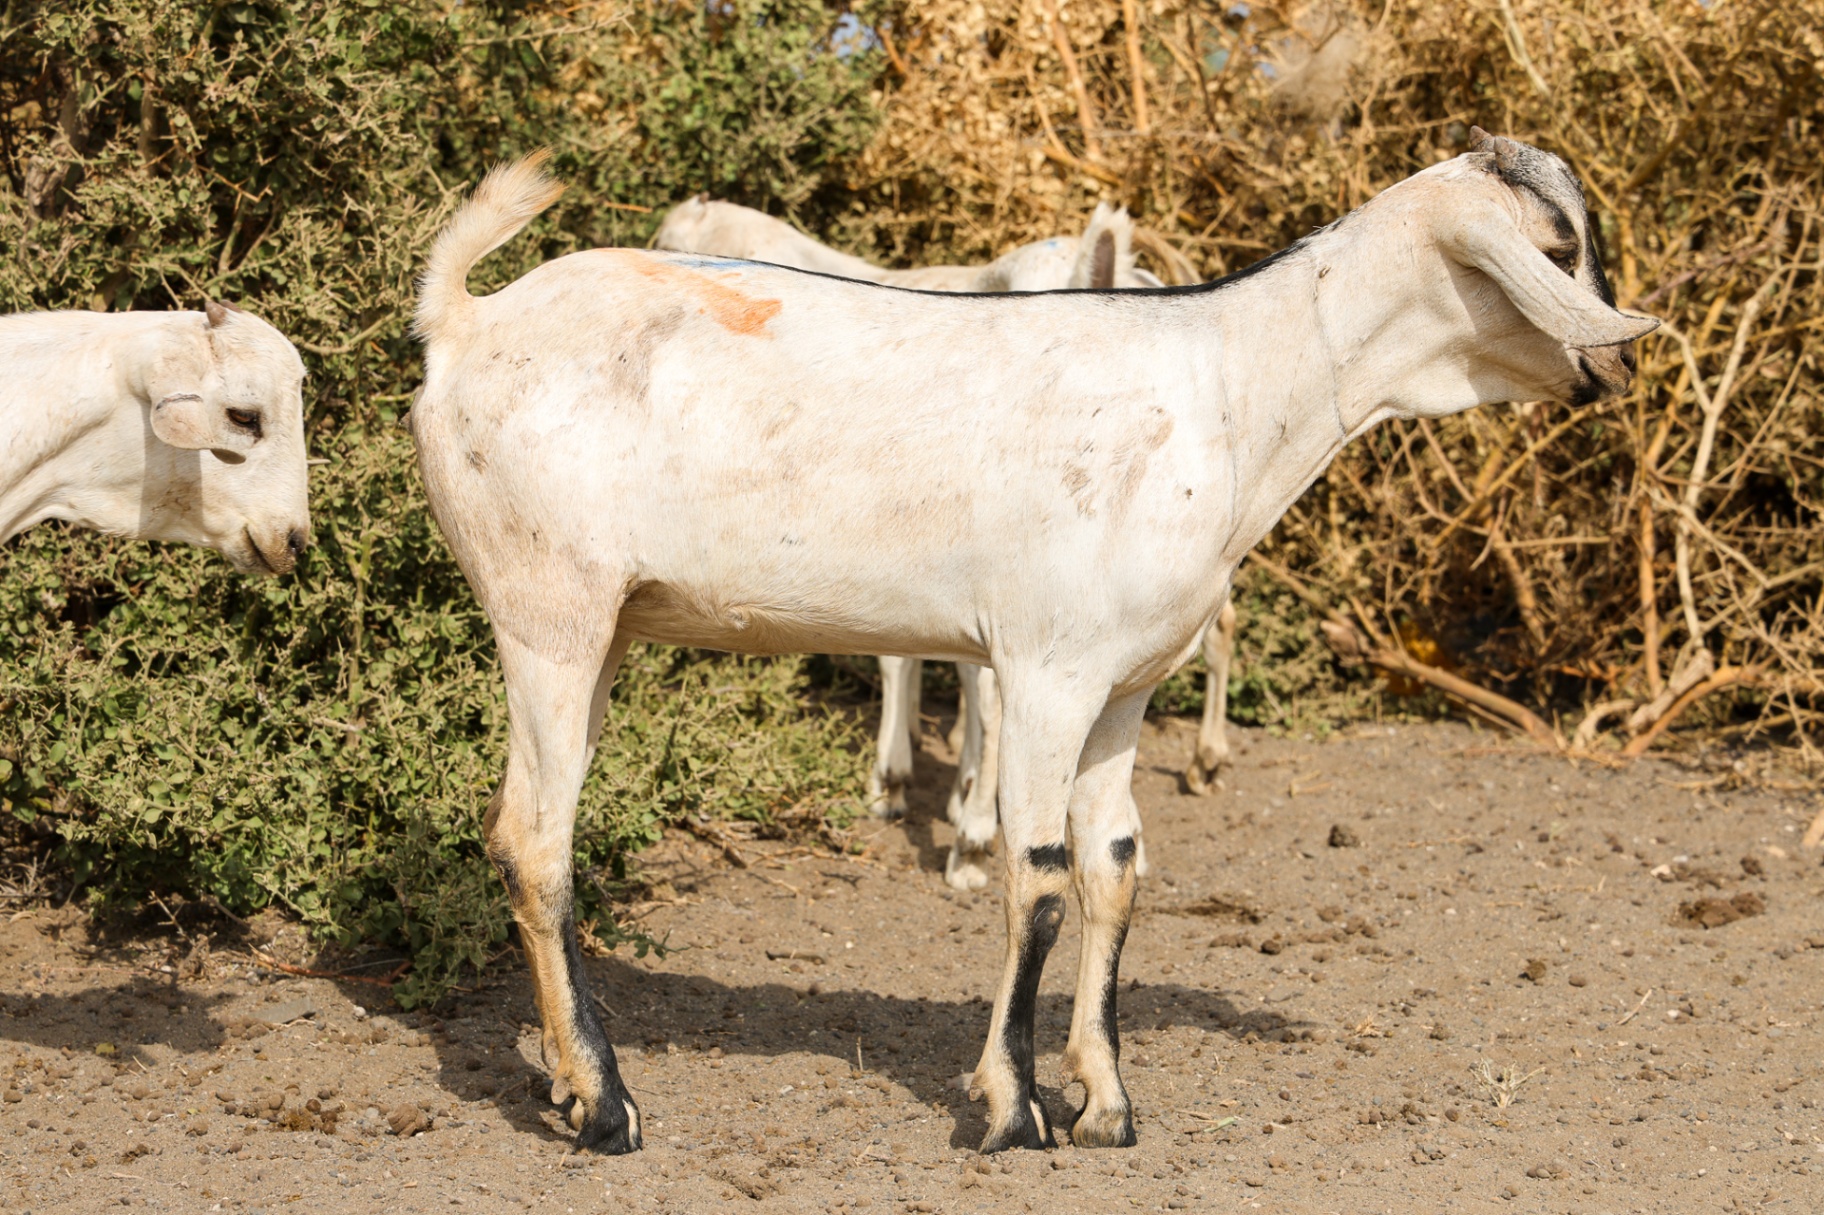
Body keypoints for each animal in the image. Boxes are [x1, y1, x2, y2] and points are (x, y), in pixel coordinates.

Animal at [410, 132, 1655, 1156]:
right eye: (1558, 244)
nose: (1621, 367)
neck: (1230, 383)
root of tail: (465, 322)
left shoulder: (1124, 684)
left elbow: (1115, 868)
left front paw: (1106, 1101)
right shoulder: (1048, 666)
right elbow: (1041, 876)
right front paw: (1014, 1107)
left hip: (605, 622)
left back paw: (566, 1080)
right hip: (547, 609)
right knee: (534, 838)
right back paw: (601, 1103)